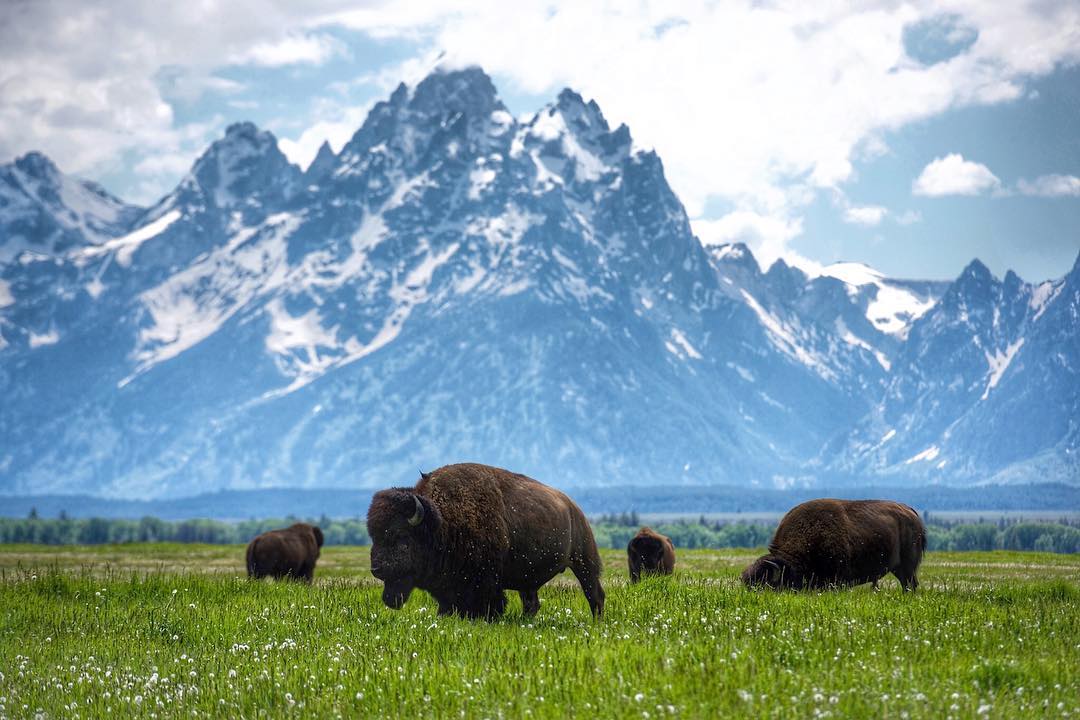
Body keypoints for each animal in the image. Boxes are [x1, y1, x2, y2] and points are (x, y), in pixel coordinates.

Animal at [367, 463, 605, 620]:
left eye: (401, 538)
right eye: (373, 536)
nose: (377, 569)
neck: (442, 521)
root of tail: (573, 508)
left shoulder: (486, 582)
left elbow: (491, 604)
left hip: (584, 562)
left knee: (594, 594)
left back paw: (597, 622)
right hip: (529, 579)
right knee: (531, 603)